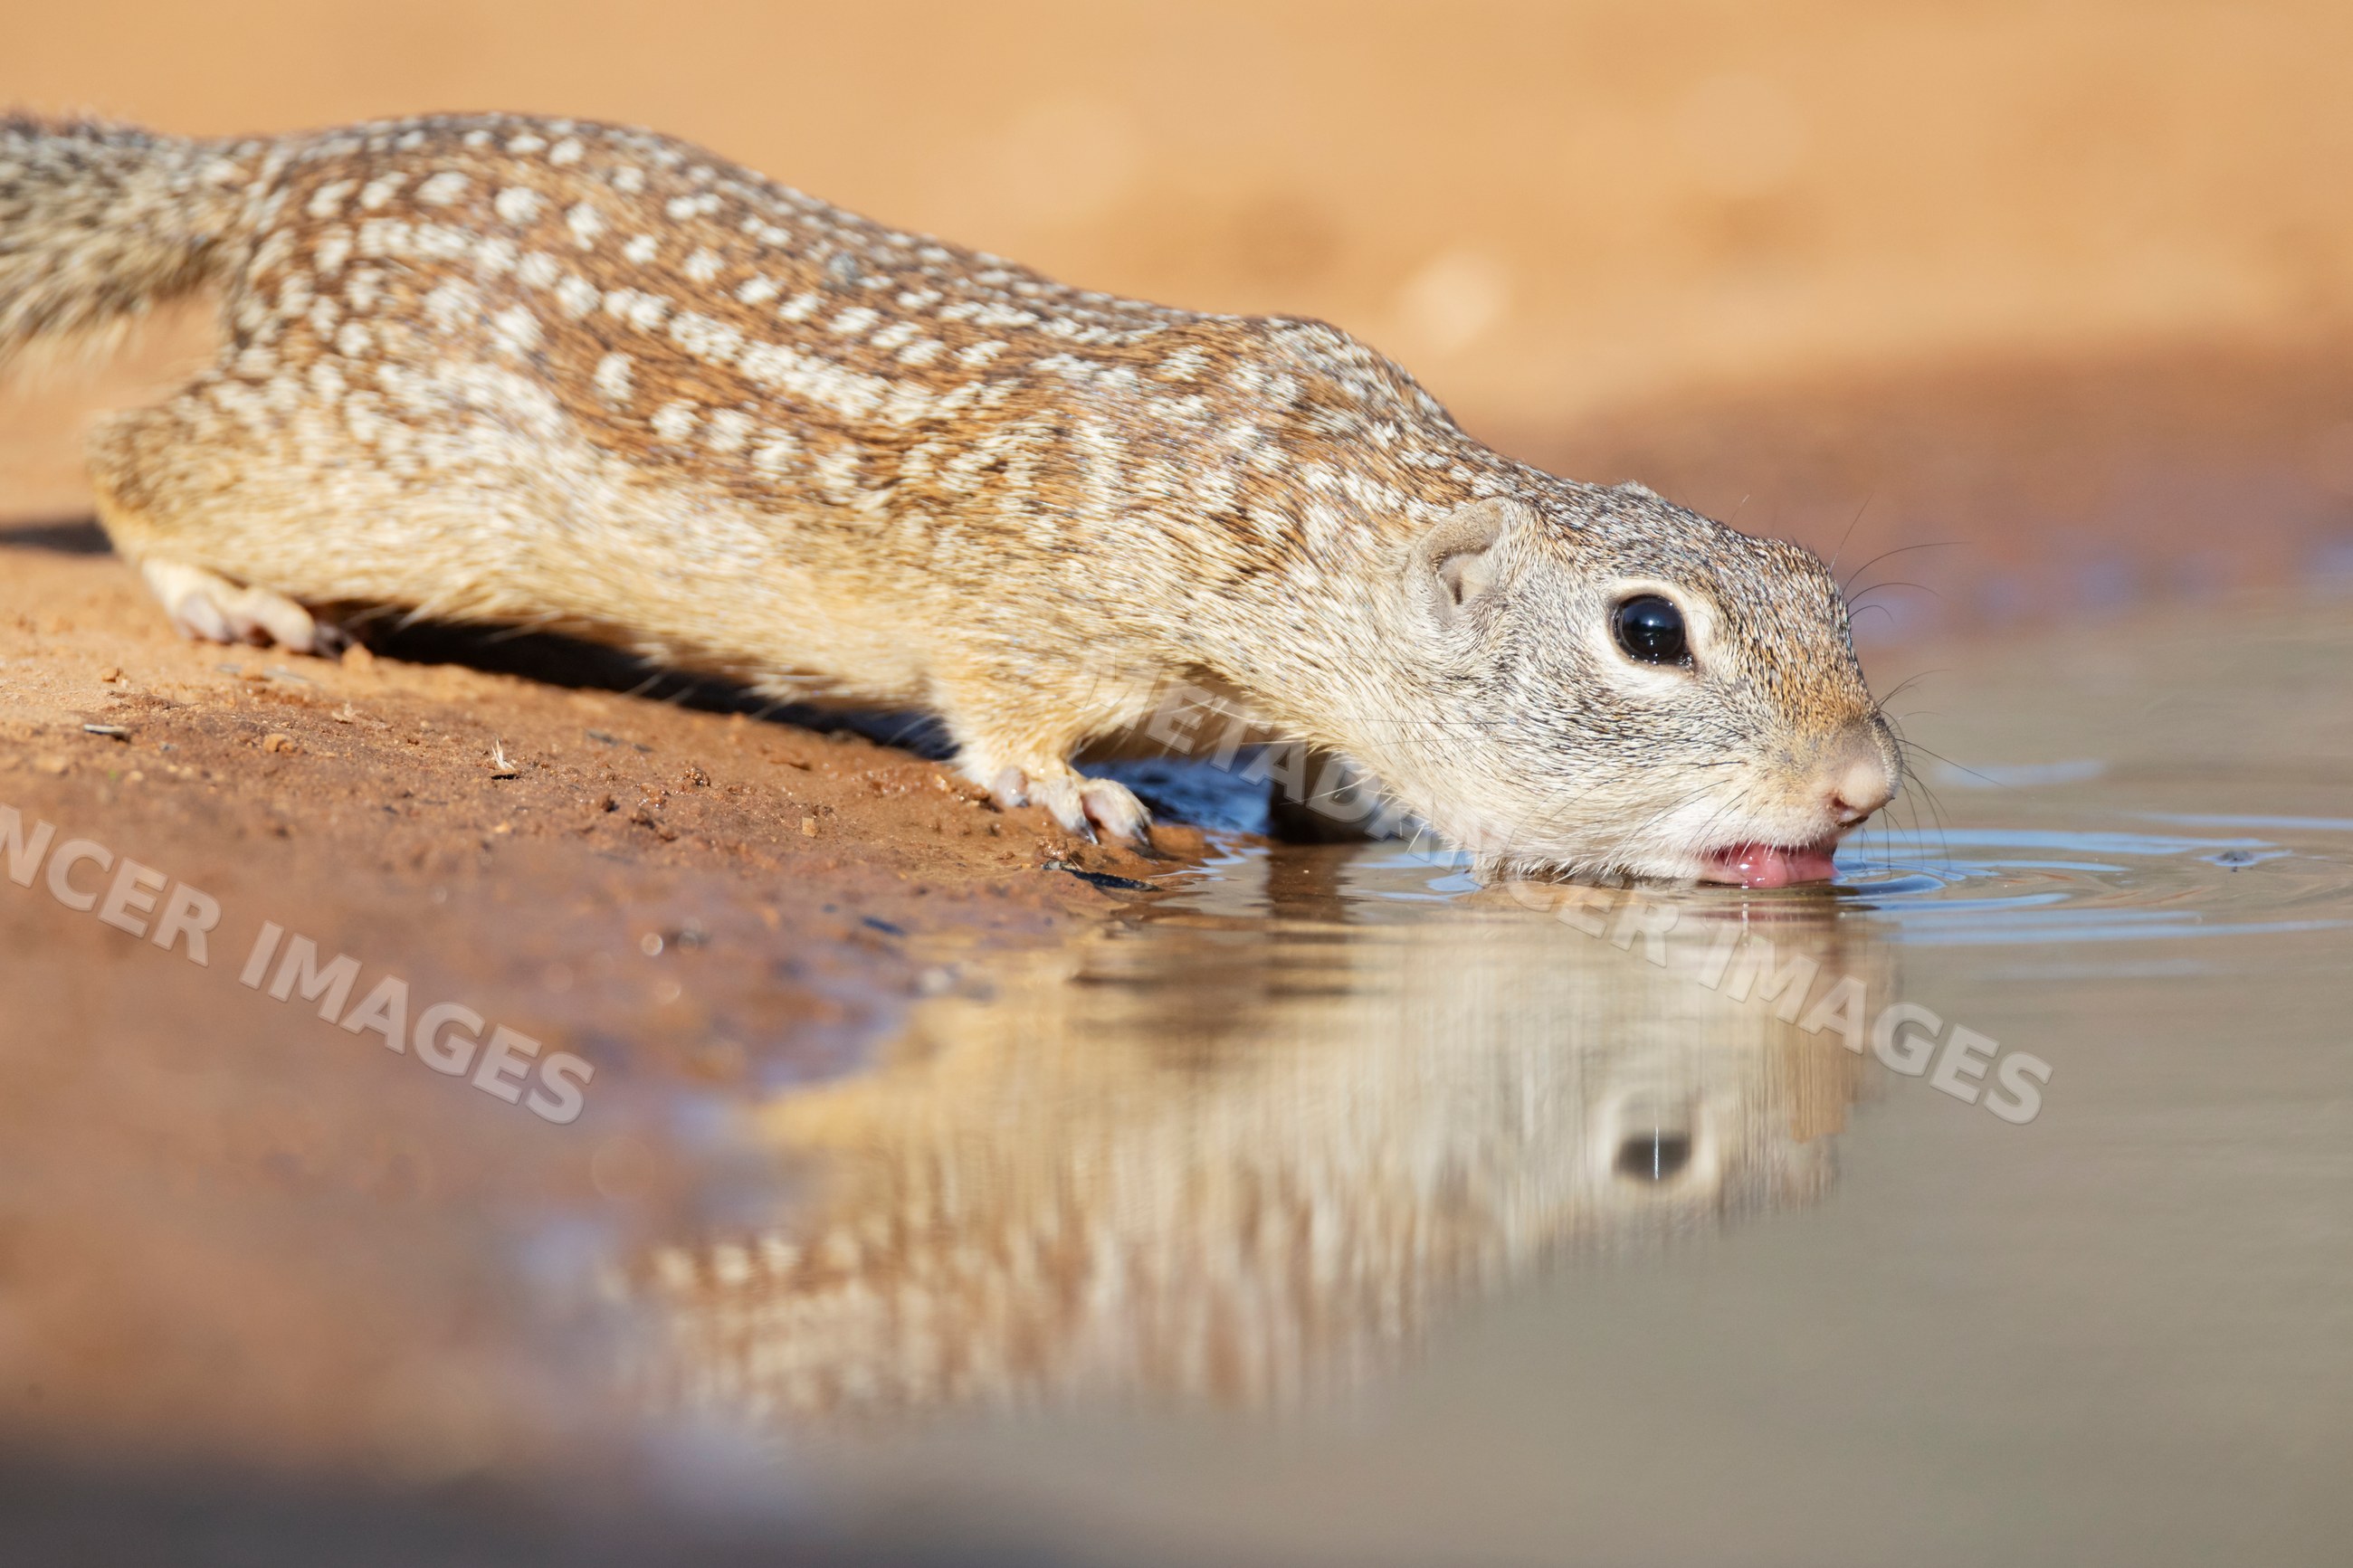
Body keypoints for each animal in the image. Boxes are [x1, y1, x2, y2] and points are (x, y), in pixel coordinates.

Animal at [0, 111, 1900, 883]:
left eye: (1826, 585)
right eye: (1648, 632)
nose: (1869, 785)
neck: (1321, 514)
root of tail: (270, 170)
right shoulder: (1048, 601)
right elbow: (1004, 703)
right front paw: (1067, 792)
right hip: (358, 464)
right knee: (133, 456)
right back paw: (218, 589)